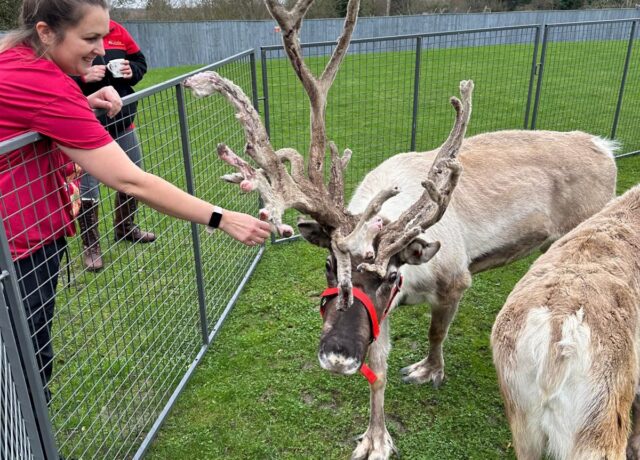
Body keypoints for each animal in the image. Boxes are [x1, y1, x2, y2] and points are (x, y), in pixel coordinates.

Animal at [182, 0, 618, 458]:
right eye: (328, 264)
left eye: (391, 275)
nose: (337, 355)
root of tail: (606, 149)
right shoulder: (379, 316)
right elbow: (378, 369)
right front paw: (375, 437)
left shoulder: (455, 281)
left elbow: (435, 332)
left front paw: (430, 370)